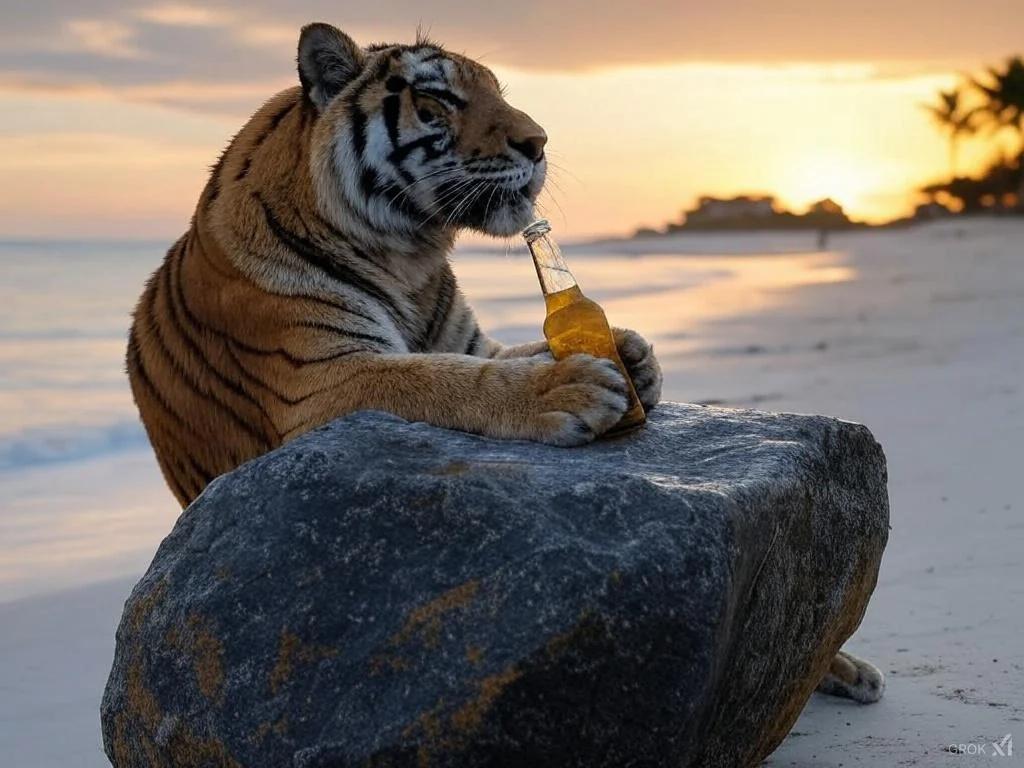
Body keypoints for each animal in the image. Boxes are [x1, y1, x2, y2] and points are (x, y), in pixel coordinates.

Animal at [125, 20, 880, 708]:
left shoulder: (467, 339)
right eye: (439, 100)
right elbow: (439, 379)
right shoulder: (323, 383)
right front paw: (569, 386)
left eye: (497, 92)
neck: (407, 257)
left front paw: (633, 354)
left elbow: (509, 351)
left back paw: (843, 669)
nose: (540, 143)